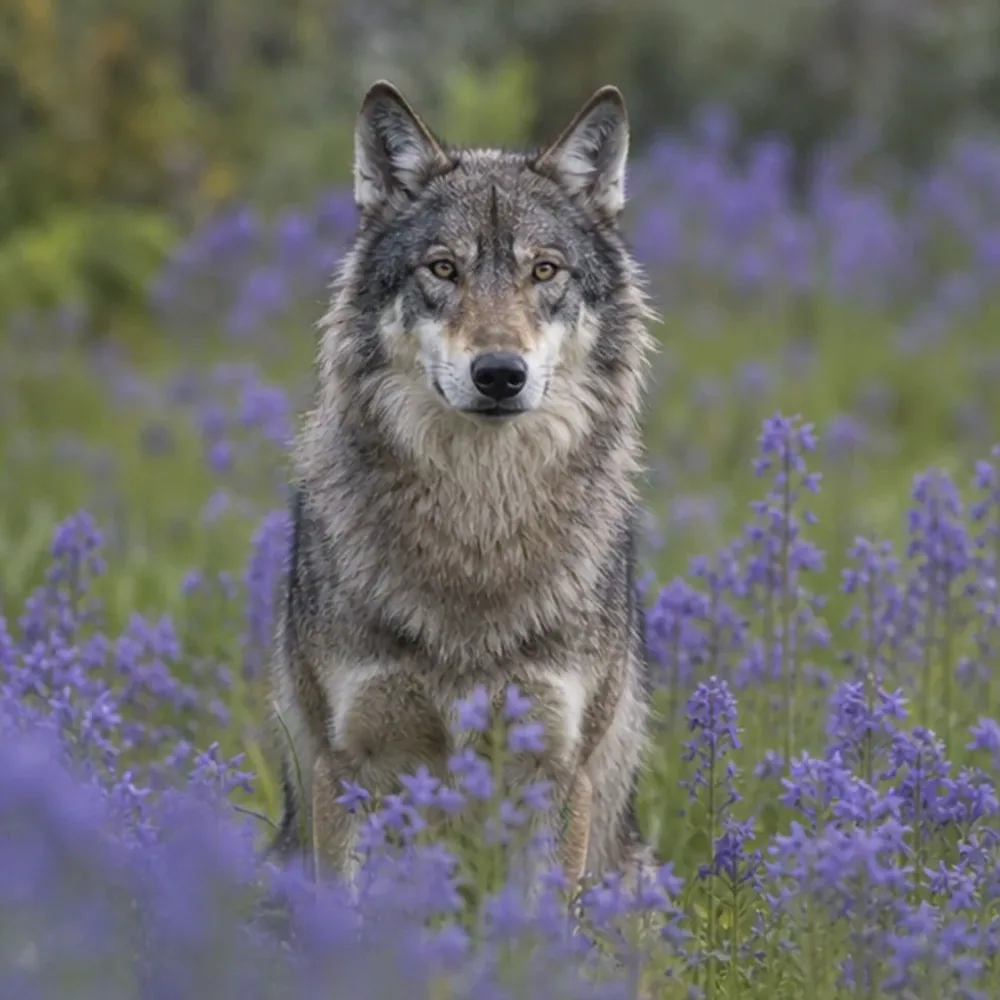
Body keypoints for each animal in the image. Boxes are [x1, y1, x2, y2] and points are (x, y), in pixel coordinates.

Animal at [268, 79, 656, 889]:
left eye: (545, 271)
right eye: (444, 269)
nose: (499, 374)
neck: (477, 527)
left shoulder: (554, 771)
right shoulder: (350, 765)